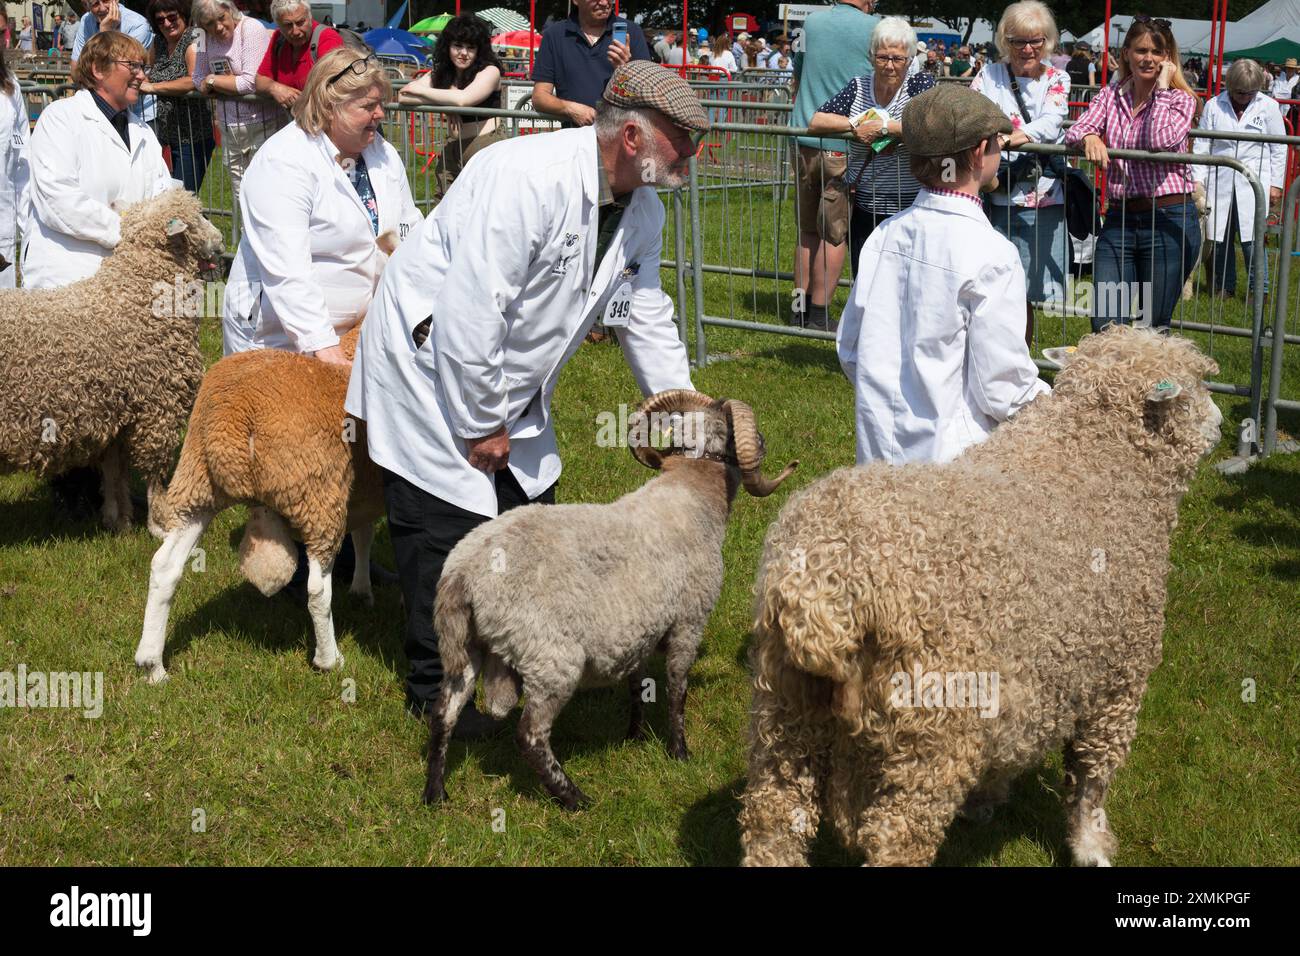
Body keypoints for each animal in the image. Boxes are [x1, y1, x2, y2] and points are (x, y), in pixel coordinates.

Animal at [0, 187, 222, 530]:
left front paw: (118, 520)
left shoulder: (115, 411)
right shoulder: (158, 406)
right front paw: (160, 523)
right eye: (197, 215)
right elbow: (154, 473)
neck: (134, 292)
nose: (222, 240)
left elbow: (114, 471)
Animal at [423, 392, 790, 811]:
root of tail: (462, 573)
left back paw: (435, 793)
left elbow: (637, 684)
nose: (763, 443)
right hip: (549, 656)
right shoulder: (689, 620)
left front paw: (635, 736)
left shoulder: (640, 628)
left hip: (467, 645)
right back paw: (574, 798)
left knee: (444, 712)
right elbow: (677, 688)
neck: (693, 492)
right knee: (530, 734)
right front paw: (679, 752)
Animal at [738, 327, 1222, 868]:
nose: (1222, 424)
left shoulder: (1027, 682)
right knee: (895, 839)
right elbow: (1092, 776)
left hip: (785, 709)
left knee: (774, 818)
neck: (1095, 456)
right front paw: (1091, 844)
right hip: (929, 731)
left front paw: (987, 800)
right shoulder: (1118, 677)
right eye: (1198, 383)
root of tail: (823, 582)